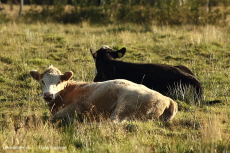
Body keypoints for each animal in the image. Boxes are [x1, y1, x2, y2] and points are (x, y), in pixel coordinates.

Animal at [29, 65, 178, 122]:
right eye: (42, 81)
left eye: (59, 81)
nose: (48, 95)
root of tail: (168, 99)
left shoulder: (76, 107)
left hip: (125, 106)